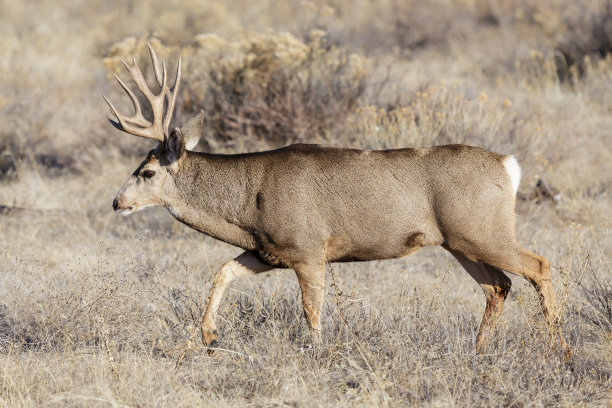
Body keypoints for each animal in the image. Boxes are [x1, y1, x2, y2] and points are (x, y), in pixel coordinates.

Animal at [104, 45, 568, 356]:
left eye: (146, 172)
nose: (116, 202)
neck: (248, 204)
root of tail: (509, 165)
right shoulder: (268, 250)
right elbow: (223, 272)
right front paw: (209, 336)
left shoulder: (309, 247)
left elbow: (312, 310)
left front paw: (315, 353)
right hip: (459, 240)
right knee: (499, 286)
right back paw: (479, 351)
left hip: (482, 230)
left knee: (538, 266)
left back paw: (560, 351)